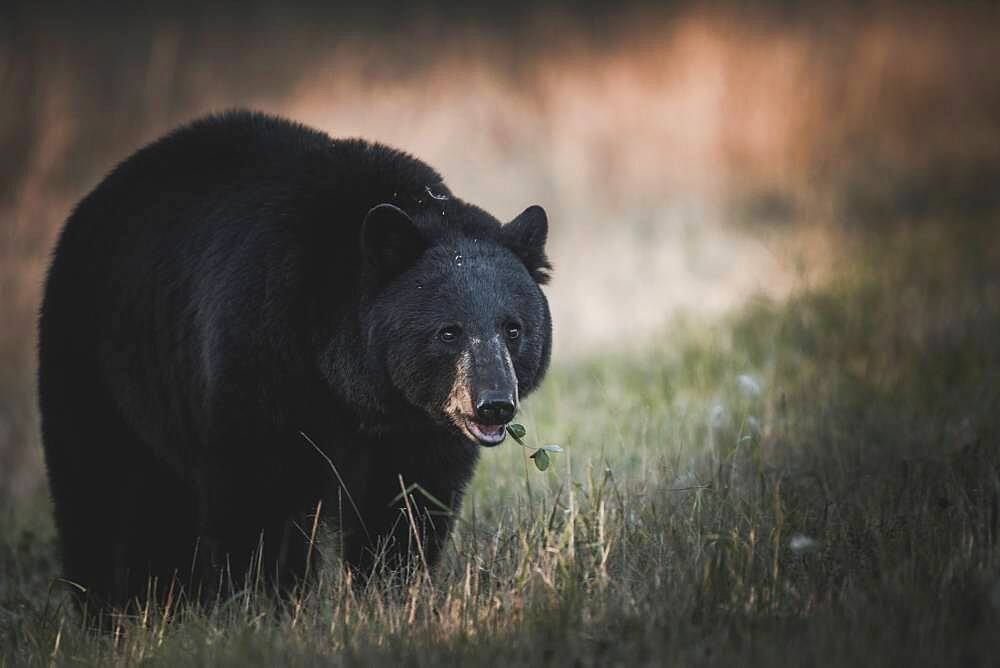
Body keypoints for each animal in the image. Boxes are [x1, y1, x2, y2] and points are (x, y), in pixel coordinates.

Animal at [37, 108, 556, 612]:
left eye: (513, 329)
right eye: (448, 332)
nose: (493, 404)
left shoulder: (416, 429)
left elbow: (407, 504)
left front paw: (391, 592)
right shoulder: (259, 356)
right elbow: (259, 496)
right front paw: (267, 602)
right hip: (92, 355)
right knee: (100, 490)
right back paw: (109, 608)